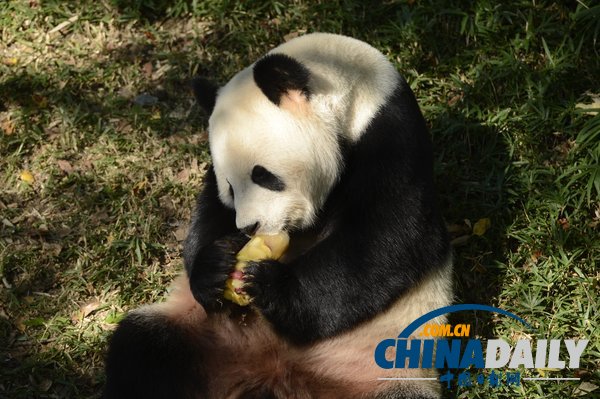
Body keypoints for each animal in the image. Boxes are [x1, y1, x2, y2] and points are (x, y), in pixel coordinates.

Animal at [103, 33, 452, 399]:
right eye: (230, 186)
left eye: (263, 175)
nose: (250, 227)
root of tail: (272, 372)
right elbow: (208, 214)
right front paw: (215, 266)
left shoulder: (390, 138)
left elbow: (391, 235)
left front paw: (273, 287)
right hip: (197, 330)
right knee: (143, 349)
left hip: (381, 369)